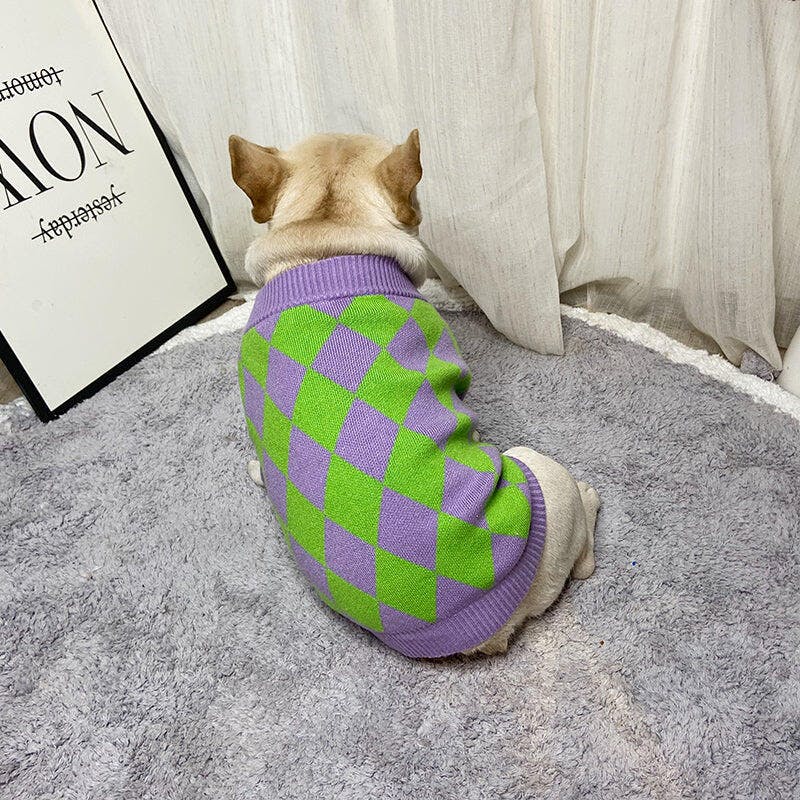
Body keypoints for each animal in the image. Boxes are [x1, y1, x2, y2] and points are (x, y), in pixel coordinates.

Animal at [230, 130, 599, 656]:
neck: (325, 245)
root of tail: (495, 628)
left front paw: (258, 470)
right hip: (543, 474)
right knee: (583, 545)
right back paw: (590, 499)